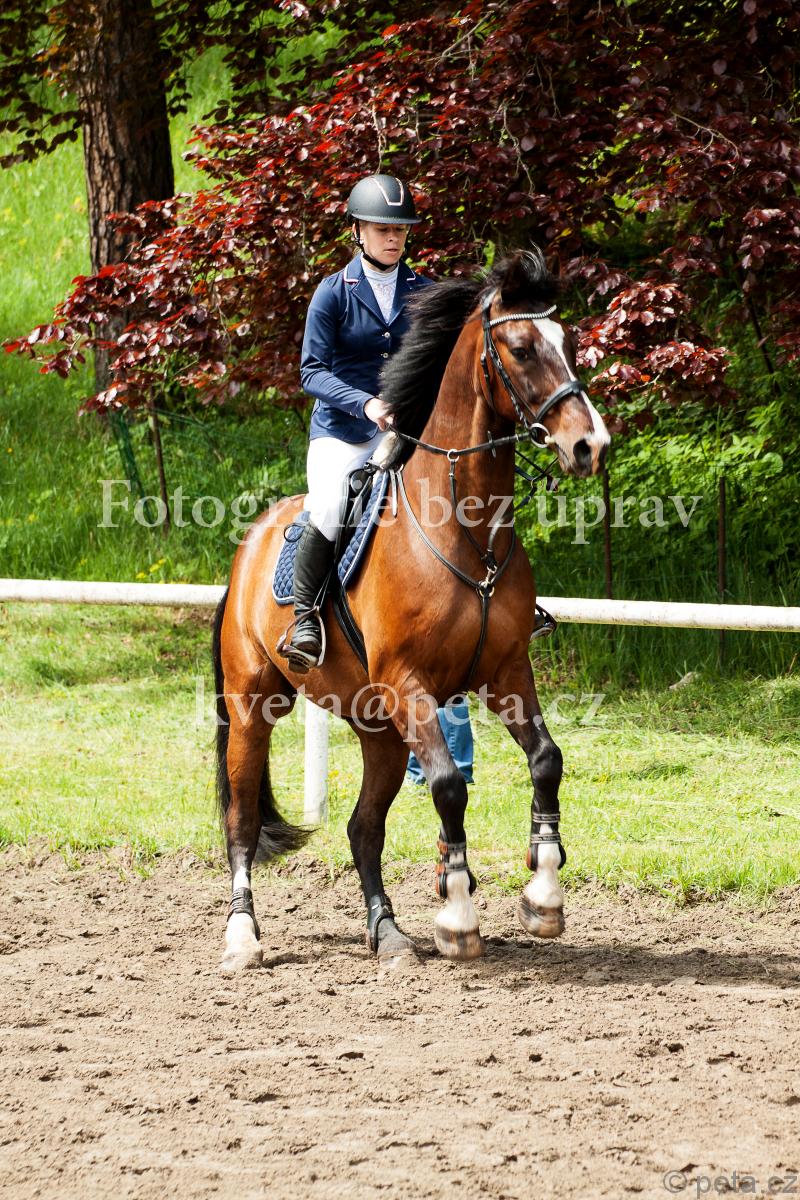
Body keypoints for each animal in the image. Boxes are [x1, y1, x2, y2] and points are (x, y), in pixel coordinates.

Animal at [212, 247, 609, 973]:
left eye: (567, 343)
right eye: (520, 347)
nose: (589, 447)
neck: (464, 526)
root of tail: (250, 545)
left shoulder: (505, 673)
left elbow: (546, 760)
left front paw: (543, 896)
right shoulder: (410, 684)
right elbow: (450, 786)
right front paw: (457, 916)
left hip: (379, 729)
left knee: (363, 827)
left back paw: (390, 935)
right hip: (256, 705)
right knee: (243, 822)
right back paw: (243, 937)